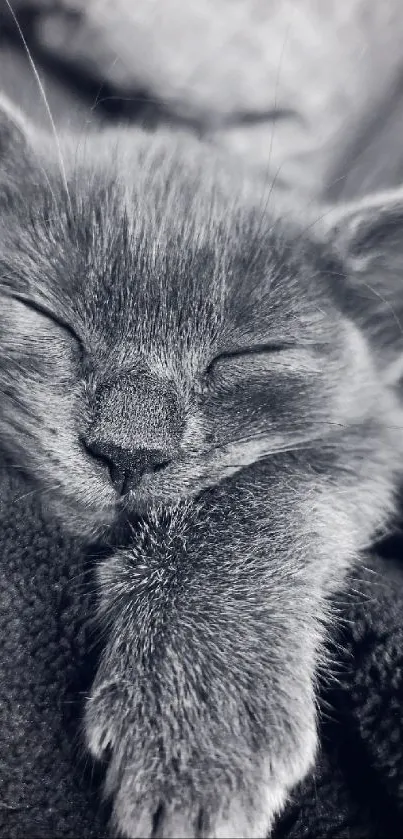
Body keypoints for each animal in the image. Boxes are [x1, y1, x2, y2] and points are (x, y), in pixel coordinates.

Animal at [0, 93, 403, 839]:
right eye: (48, 315)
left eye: (246, 354)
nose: (127, 449)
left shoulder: (377, 435)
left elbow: (270, 487)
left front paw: (196, 713)